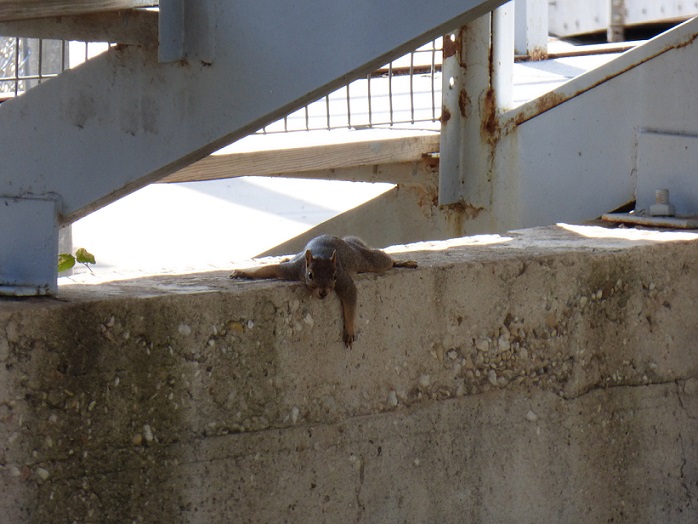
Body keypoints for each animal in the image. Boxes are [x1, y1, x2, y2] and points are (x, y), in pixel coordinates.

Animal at [230, 235, 417, 347]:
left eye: (334, 276)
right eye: (310, 275)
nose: (323, 292)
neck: (321, 255)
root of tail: (348, 242)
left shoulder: (343, 280)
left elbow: (351, 296)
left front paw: (349, 330)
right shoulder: (294, 270)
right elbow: (271, 269)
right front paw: (243, 273)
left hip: (366, 260)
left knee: (385, 260)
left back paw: (403, 262)